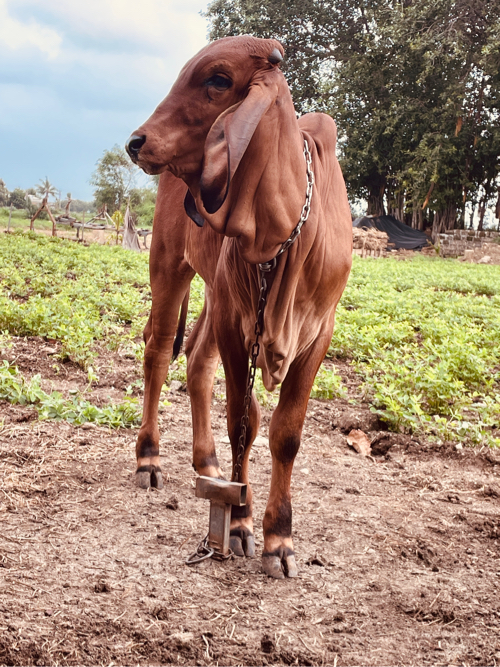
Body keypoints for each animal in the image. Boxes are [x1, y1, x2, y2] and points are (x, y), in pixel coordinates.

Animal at [125, 36, 352, 580]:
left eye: (218, 79)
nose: (136, 142)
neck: (284, 232)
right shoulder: (237, 323)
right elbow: (243, 421)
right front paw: (241, 522)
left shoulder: (319, 331)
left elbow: (286, 434)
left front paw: (280, 538)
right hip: (170, 267)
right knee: (159, 351)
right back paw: (149, 458)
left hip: (213, 292)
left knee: (196, 359)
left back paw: (206, 463)